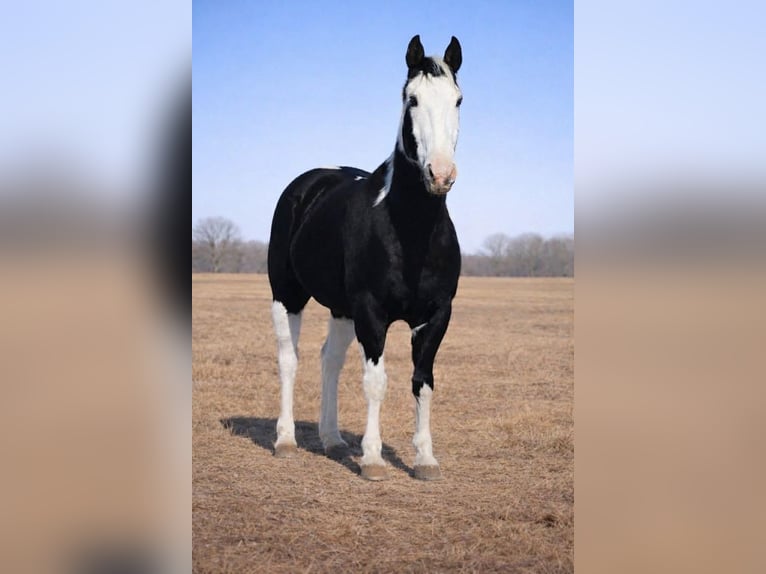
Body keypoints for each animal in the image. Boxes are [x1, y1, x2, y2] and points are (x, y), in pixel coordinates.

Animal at [267, 35, 463, 481]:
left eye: (458, 99)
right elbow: (376, 382)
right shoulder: (372, 312)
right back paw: (285, 440)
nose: (440, 174)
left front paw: (425, 459)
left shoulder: (436, 315)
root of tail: (308, 184)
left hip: (341, 308)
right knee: (290, 360)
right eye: (411, 99)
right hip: (287, 296)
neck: (410, 232)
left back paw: (333, 440)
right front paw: (372, 459)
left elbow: (423, 380)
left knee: (330, 361)